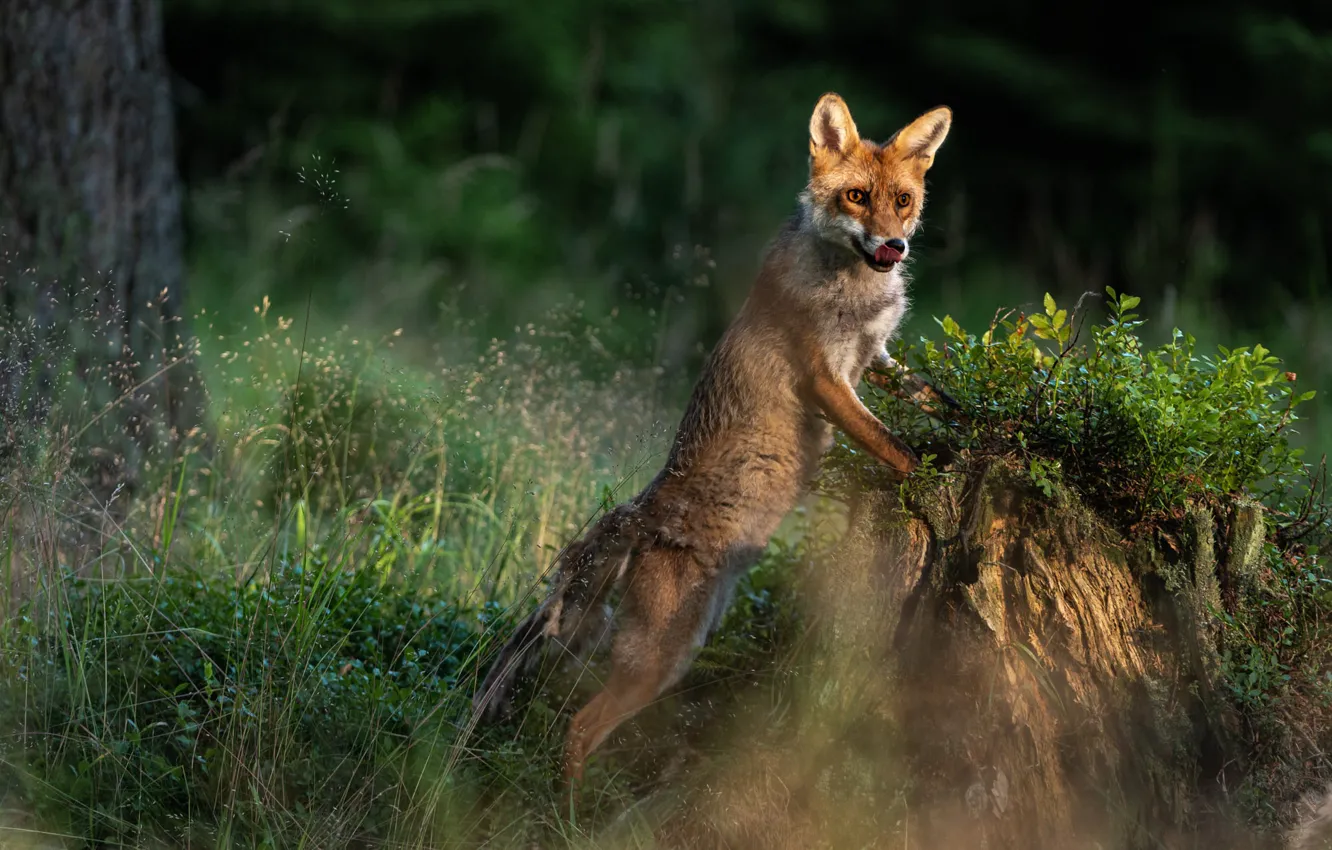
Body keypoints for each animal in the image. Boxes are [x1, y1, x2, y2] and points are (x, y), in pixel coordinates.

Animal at [471, 92, 958, 787]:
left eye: (904, 200)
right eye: (857, 196)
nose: (894, 245)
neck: (856, 293)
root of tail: (636, 514)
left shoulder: (878, 359)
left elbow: (938, 401)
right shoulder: (826, 380)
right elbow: (899, 451)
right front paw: (939, 478)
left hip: (681, 647)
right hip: (661, 658)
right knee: (577, 727)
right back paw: (567, 806)